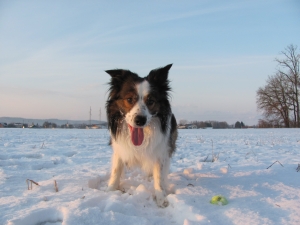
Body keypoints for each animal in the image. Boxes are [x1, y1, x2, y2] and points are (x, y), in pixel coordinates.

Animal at [105, 63, 177, 207]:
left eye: (151, 101)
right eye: (129, 99)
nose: (140, 120)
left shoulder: (161, 151)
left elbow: (159, 176)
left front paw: (161, 198)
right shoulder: (119, 149)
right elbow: (116, 170)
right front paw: (110, 190)